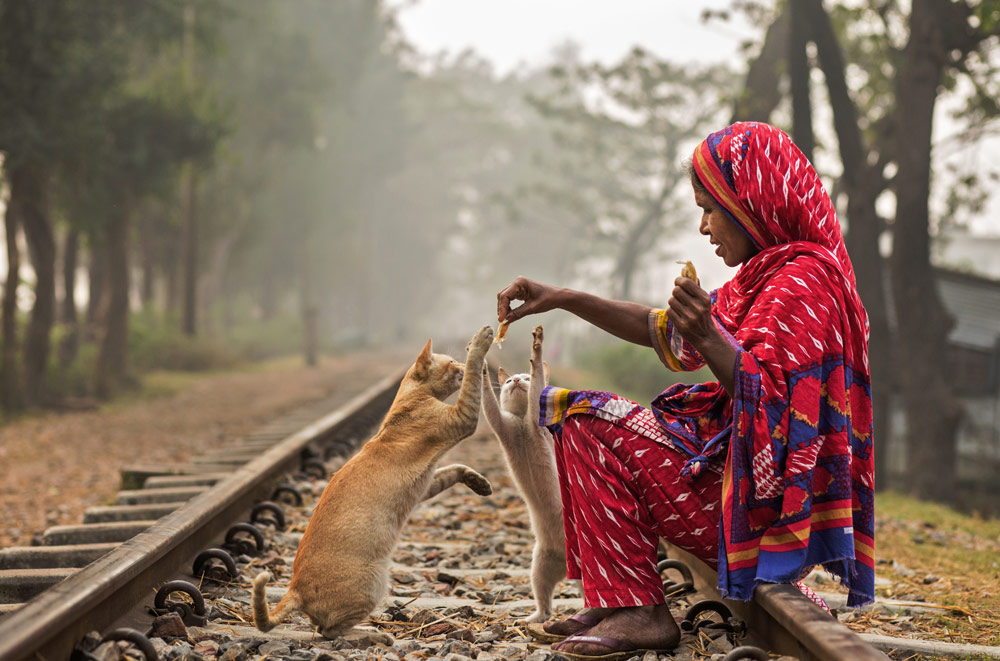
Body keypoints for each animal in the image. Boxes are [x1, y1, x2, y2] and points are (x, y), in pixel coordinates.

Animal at [252, 324, 494, 640]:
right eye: (452, 362)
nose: (461, 366)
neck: (408, 401)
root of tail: (295, 589)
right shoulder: (462, 417)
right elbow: (472, 386)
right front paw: (481, 343)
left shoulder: (427, 484)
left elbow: (455, 469)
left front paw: (479, 483)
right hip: (373, 584)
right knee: (330, 631)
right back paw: (373, 633)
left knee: (322, 627)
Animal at [480, 324, 568, 624]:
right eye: (508, 381)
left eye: (525, 378)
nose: (517, 379)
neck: (521, 422)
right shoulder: (502, 426)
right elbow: (490, 407)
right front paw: (480, 363)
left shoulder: (537, 416)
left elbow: (539, 383)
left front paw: (537, 346)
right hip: (539, 565)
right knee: (545, 600)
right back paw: (533, 618)